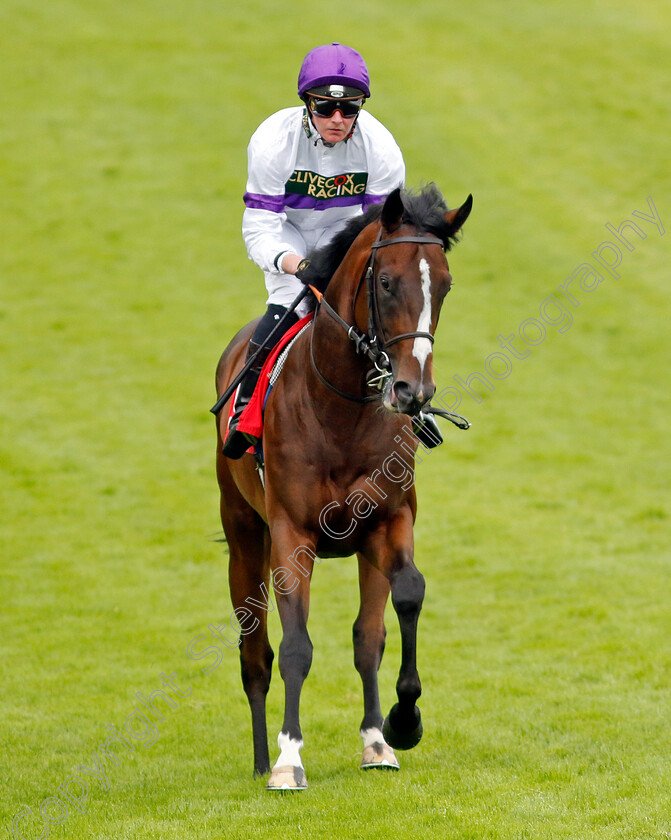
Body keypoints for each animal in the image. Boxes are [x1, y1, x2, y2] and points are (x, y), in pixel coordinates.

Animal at [215, 182, 472, 788]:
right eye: (387, 282)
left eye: (445, 284)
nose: (412, 391)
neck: (340, 411)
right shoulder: (292, 535)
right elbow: (295, 647)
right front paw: (288, 760)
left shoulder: (387, 521)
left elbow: (398, 605)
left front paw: (399, 725)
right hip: (244, 535)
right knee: (255, 653)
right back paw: (260, 760)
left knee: (366, 636)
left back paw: (377, 741)